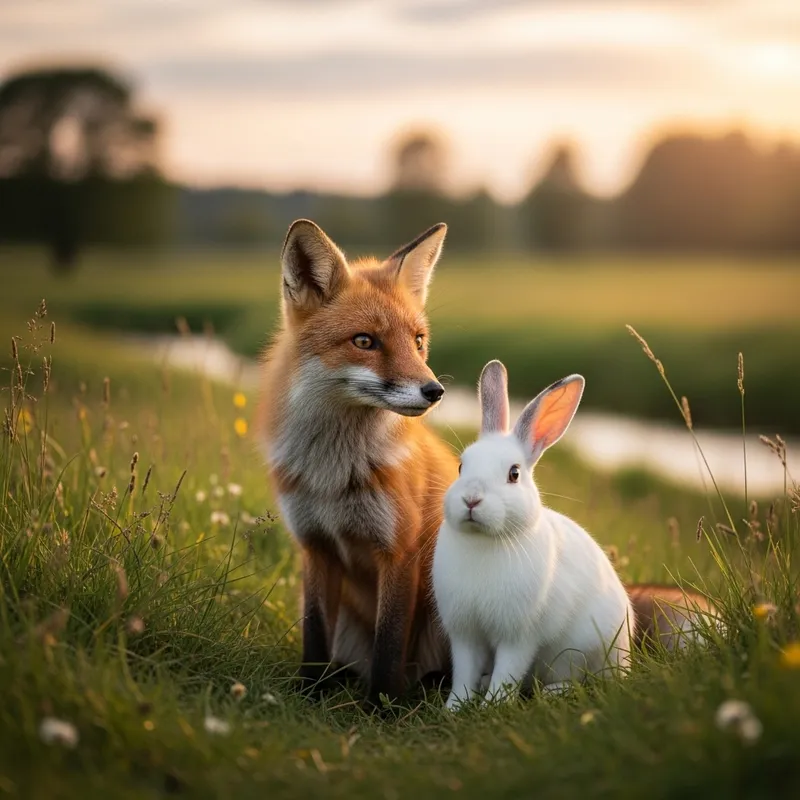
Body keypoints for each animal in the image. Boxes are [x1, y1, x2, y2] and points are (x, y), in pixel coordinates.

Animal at [432, 360, 633, 710]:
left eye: (514, 474)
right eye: (460, 467)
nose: (471, 499)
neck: (485, 541)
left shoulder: (519, 637)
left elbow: (508, 672)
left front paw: (492, 707)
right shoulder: (466, 634)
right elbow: (464, 673)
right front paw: (455, 707)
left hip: (581, 653)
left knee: (586, 682)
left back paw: (552, 693)